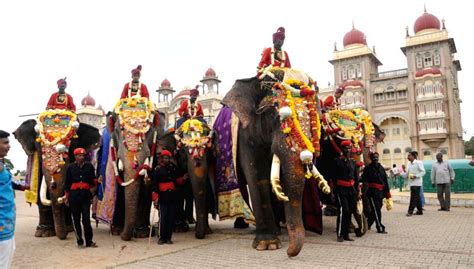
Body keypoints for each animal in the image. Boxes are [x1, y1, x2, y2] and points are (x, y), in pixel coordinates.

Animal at [13, 109, 100, 239]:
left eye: (72, 143)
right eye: (39, 146)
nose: (63, 237)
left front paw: (69, 229)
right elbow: (40, 195)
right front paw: (43, 233)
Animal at [213, 66, 332, 255]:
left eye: (315, 119)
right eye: (272, 113)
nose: (290, 253)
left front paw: (274, 237)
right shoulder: (245, 134)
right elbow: (257, 176)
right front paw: (267, 244)